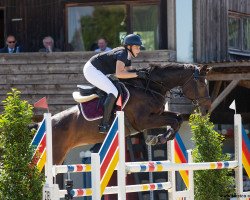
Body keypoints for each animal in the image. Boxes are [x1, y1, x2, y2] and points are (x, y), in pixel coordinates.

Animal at [50, 63, 211, 165]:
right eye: (201, 84)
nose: (207, 109)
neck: (149, 88)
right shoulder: (143, 121)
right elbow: (174, 121)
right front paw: (157, 138)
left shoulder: (158, 114)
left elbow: (177, 118)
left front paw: (160, 138)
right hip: (56, 155)